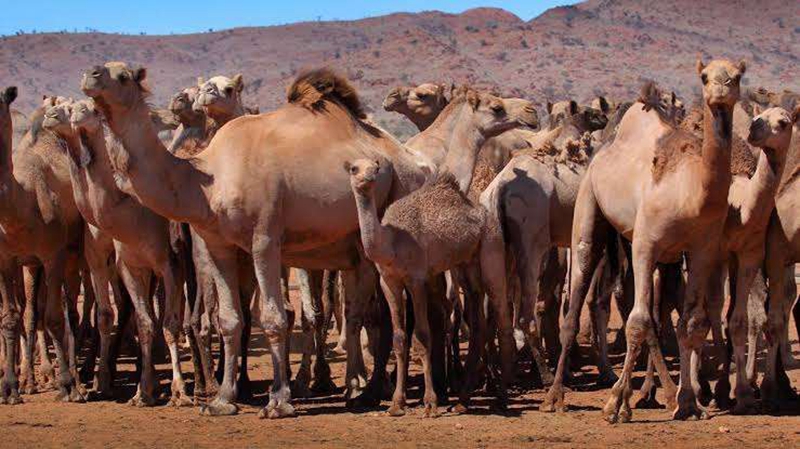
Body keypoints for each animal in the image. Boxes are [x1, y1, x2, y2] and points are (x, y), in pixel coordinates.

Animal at [0, 86, 85, 402]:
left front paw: (66, 384)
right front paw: (10, 387)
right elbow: (11, 318)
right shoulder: (7, 260)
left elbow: (54, 318)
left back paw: (78, 381)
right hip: (31, 266)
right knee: (32, 312)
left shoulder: (53, 255)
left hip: (74, 253)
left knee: (70, 310)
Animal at [79, 63, 432, 416]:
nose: (91, 75)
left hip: (393, 213)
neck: (209, 178)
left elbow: (274, 318)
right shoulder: (216, 244)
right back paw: (360, 389)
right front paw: (222, 399)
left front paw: (278, 400)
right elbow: (229, 320)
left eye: (123, 76)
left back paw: (374, 390)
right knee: (360, 312)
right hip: (357, 248)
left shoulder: (265, 238)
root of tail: (416, 163)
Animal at [346, 88, 536, 416]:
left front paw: (431, 399)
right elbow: (409, 333)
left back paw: (496, 395)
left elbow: (426, 331)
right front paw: (403, 401)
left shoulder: (423, 276)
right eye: (496, 107)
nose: (531, 112)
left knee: (499, 322)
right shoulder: (404, 278)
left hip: (490, 258)